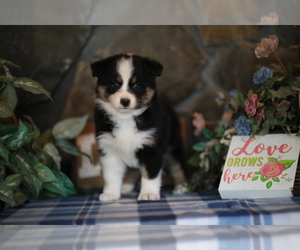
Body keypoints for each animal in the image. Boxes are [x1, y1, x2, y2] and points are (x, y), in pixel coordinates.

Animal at [90, 54, 186, 201]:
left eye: (136, 85)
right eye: (115, 84)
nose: (125, 101)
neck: (126, 118)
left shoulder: (152, 147)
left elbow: (150, 174)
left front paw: (148, 194)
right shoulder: (109, 148)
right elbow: (111, 175)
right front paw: (110, 194)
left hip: (173, 144)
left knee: (177, 166)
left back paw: (181, 187)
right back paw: (126, 187)